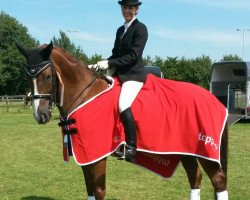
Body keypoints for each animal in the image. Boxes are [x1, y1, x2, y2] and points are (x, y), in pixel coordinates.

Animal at [17, 42, 229, 200]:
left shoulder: (96, 155)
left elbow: (99, 192)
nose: (40, 115)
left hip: (204, 149)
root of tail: (212, 98)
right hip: (184, 148)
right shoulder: (85, 156)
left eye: (47, 76)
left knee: (218, 180)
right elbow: (90, 191)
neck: (85, 95)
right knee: (195, 177)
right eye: (27, 78)